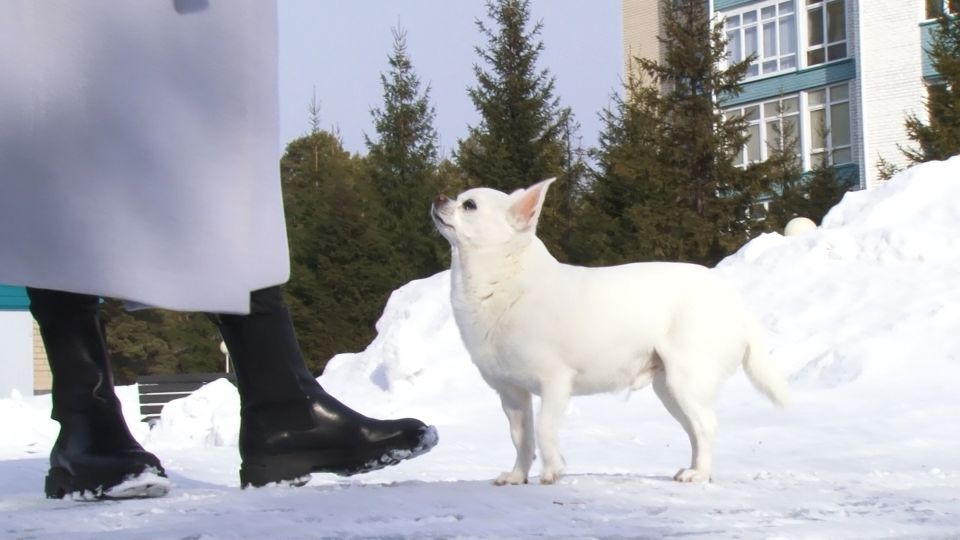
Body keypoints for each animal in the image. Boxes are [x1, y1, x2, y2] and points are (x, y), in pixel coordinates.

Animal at [432, 177, 792, 486]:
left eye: (469, 205)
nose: (439, 197)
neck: (503, 282)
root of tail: (736, 302)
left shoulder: (554, 383)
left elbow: (545, 430)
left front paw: (553, 470)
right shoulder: (511, 394)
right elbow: (521, 438)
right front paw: (518, 475)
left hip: (686, 380)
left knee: (707, 425)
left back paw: (699, 474)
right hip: (669, 388)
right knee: (695, 429)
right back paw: (692, 469)